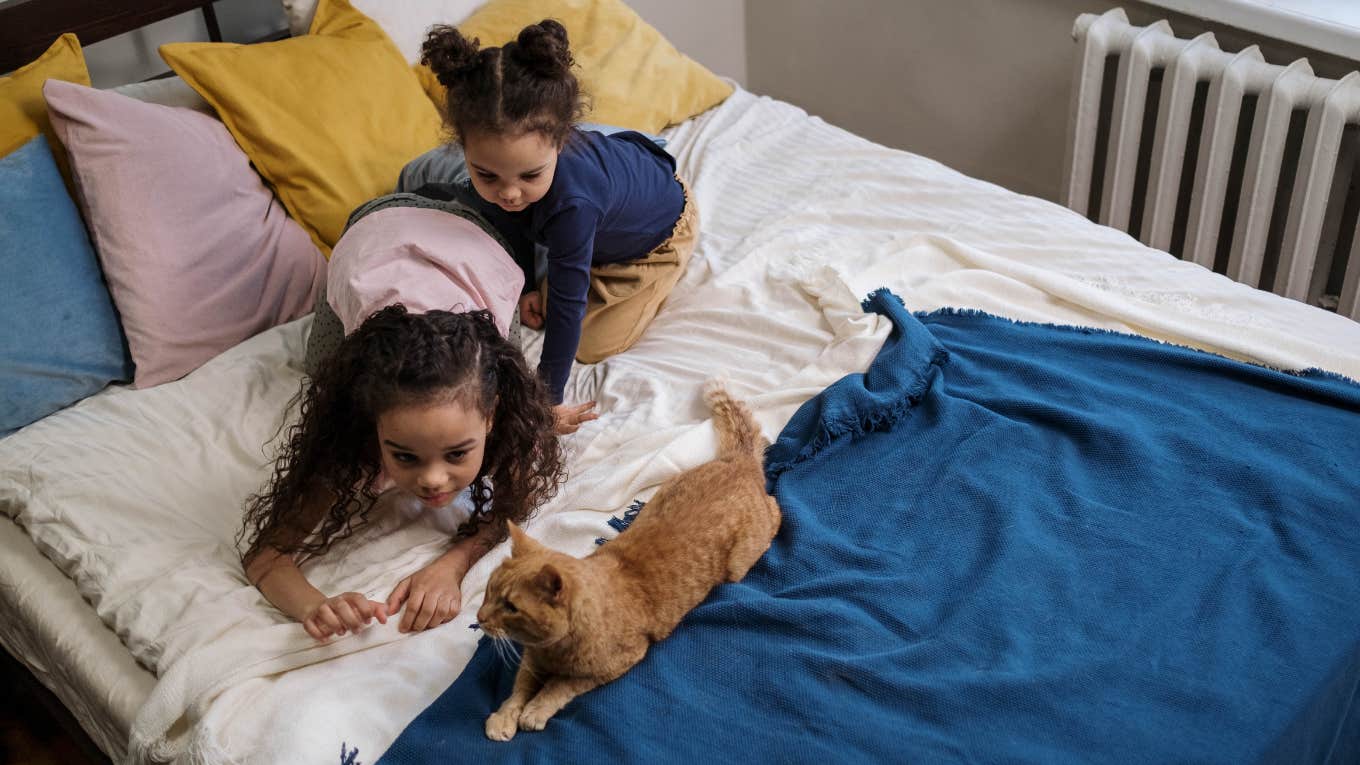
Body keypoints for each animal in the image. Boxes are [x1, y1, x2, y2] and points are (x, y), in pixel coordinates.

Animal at [478, 381, 783, 740]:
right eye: (488, 591)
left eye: (511, 607)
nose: (480, 618)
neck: (552, 649)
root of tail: (736, 462)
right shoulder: (532, 661)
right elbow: (518, 688)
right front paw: (504, 717)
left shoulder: (622, 660)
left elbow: (560, 685)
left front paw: (536, 710)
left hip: (740, 563)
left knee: (776, 507)